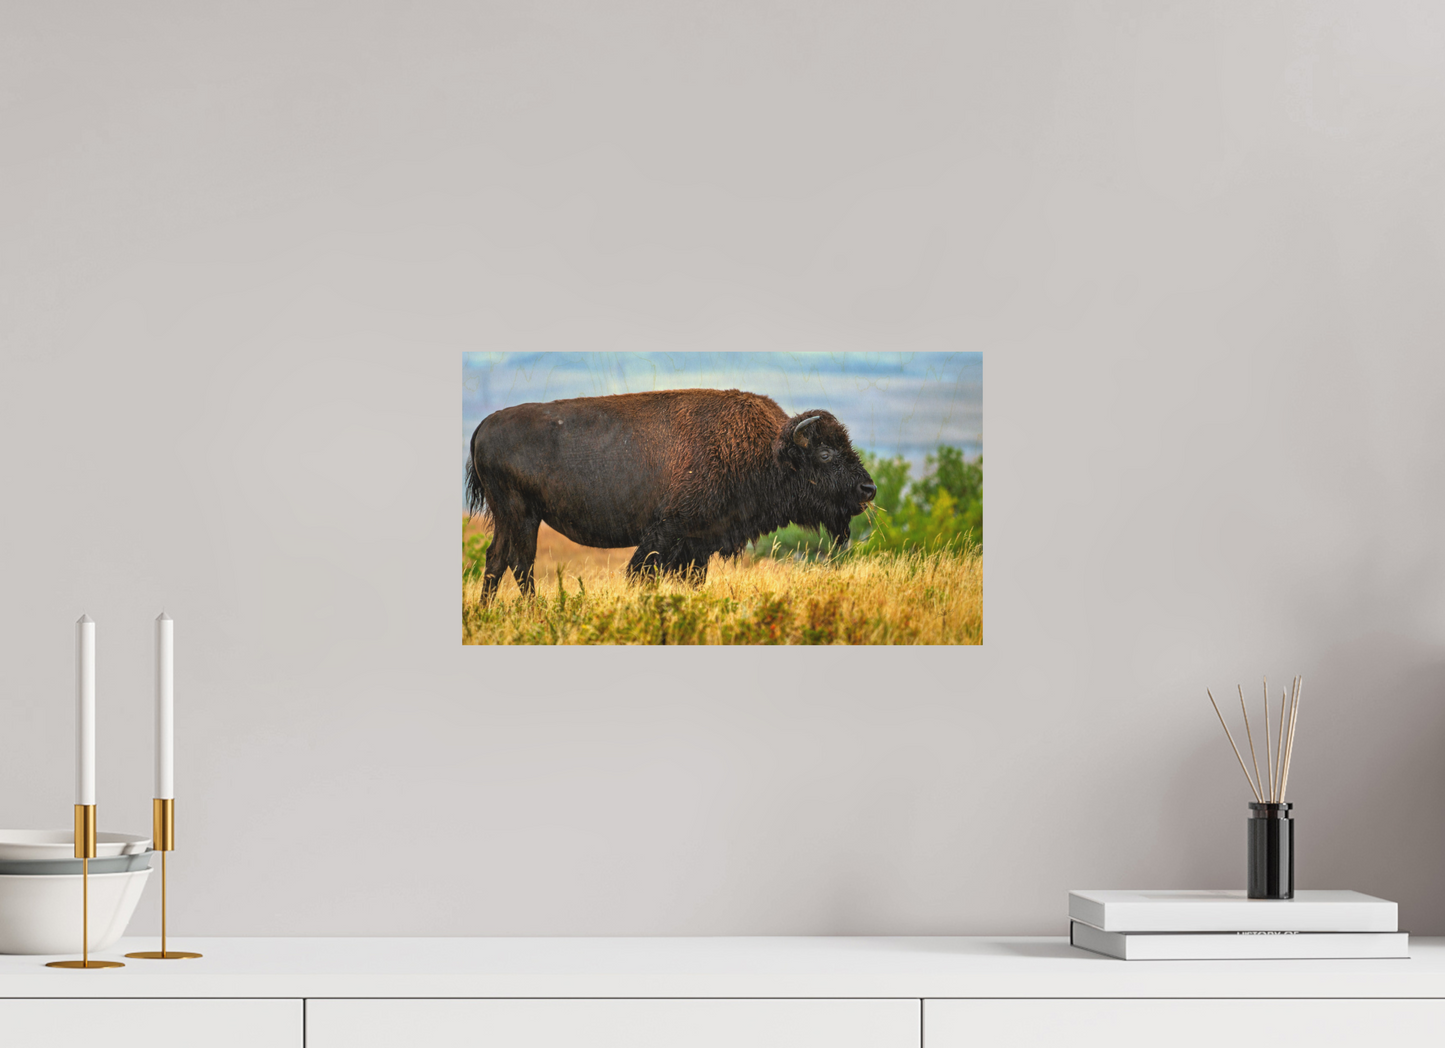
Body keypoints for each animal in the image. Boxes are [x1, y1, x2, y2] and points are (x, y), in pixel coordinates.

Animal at [465, 388, 876, 602]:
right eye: (825, 454)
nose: (868, 489)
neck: (764, 450)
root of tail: (483, 425)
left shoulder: (697, 545)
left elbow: (691, 580)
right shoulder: (667, 532)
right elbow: (640, 572)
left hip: (508, 517)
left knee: (496, 559)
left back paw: (489, 612)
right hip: (522, 514)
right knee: (521, 563)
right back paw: (533, 612)